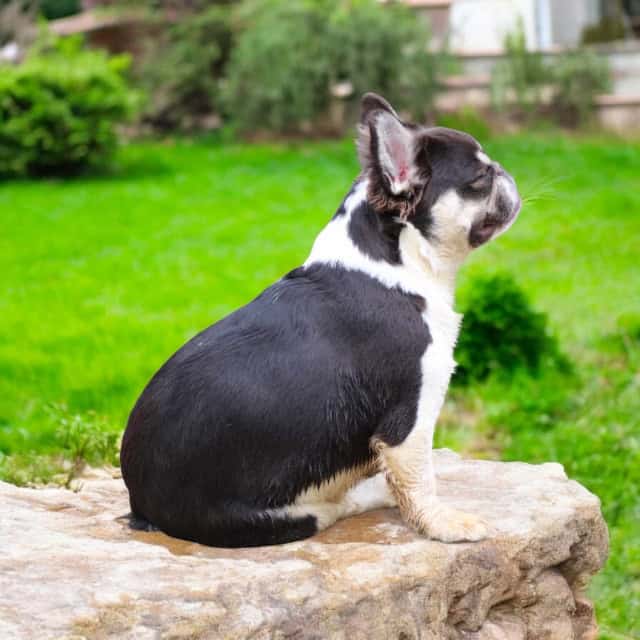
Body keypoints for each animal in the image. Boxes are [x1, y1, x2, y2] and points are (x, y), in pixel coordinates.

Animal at [120, 92, 520, 548]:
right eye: (481, 177)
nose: (505, 173)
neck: (396, 267)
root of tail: (142, 505)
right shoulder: (410, 419)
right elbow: (420, 478)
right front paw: (444, 523)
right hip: (276, 518)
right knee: (330, 507)